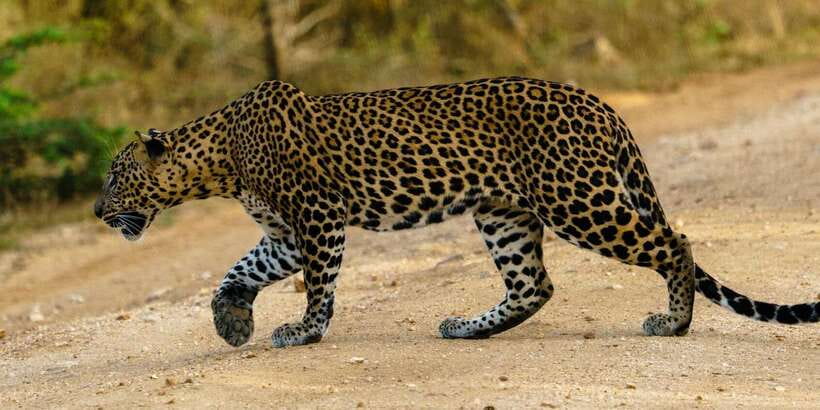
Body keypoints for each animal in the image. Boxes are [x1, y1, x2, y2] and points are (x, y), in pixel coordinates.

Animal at [94, 77, 819, 348]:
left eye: (114, 176)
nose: (98, 211)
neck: (218, 161)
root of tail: (601, 103)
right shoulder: (284, 234)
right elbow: (237, 272)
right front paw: (232, 322)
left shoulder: (318, 221)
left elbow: (320, 287)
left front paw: (303, 331)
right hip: (503, 212)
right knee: (534, 285)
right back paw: (469, 327)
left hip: (578, 199)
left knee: (677, 242)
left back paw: (674, 322)